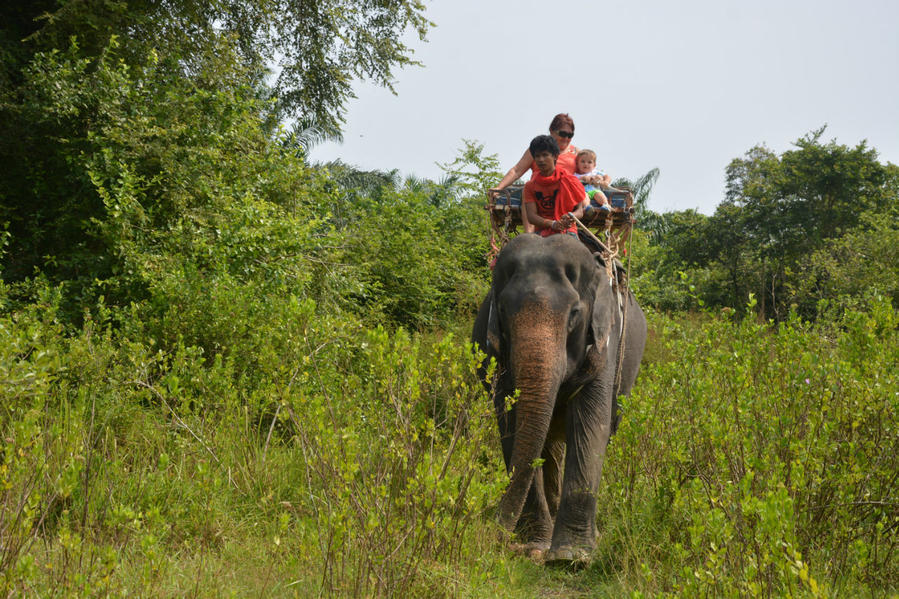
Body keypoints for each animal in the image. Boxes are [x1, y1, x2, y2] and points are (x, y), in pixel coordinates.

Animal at [472, 232, 648, 564]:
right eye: (500, 311)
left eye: (575, 315)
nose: (500, 537)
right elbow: (512, 425)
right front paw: (535, 546)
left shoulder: (604, 343)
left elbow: (590, 424)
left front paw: (570, 556)